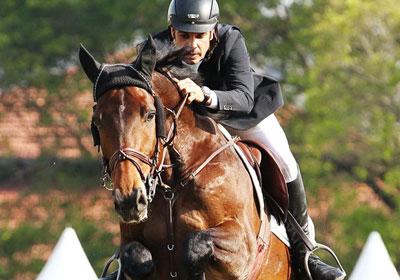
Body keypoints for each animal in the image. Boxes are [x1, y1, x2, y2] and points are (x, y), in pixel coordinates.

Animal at [79, 36, 290, 280]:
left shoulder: (243, 249)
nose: (130, 200)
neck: (173, 184)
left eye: (150, 114)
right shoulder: (130, 240)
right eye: (98, 121)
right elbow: (136, 256)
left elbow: (195, 244)